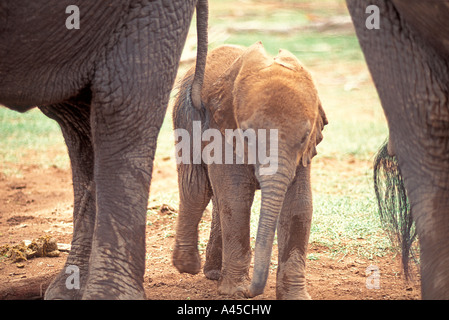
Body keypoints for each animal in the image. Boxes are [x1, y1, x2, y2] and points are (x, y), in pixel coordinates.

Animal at [171, 41, 326, 298]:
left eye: (304, 137)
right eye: (248, 135)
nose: (250, 292)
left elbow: (298, 204)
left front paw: (296, 296)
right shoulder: (222, 130)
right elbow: (236, 197)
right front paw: (235, 292)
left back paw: (214, 274)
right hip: (184, 116)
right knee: (197, 187)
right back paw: (188, 266)